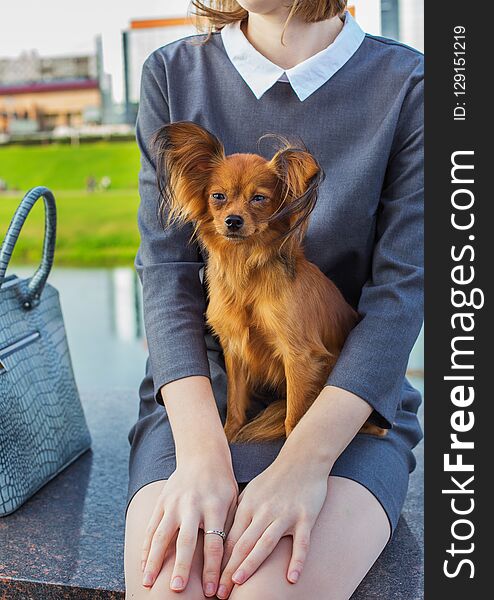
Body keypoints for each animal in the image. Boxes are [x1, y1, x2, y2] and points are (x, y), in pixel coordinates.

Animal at [151, 120, 386, 440]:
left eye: (259, 198)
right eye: (218, 196)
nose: (233, 221)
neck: (245, 265)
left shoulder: (299, 357)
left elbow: (294, 418)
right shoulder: (235, 350)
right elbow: (236, 402)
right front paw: (229, 433)